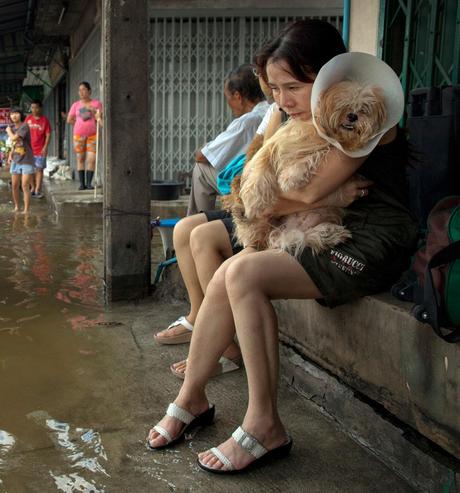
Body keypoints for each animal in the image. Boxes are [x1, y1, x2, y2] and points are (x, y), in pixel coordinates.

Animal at [232, 80, 386, 254]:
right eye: (342, 105)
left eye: (364, 109)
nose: (353, 116)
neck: (314, 130)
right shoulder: (274, 146)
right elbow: (261, 166)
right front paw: (253, 201)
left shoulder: (326, 149)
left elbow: (308, 158)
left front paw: (290, 178)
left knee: (296, 237)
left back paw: (329, 233)